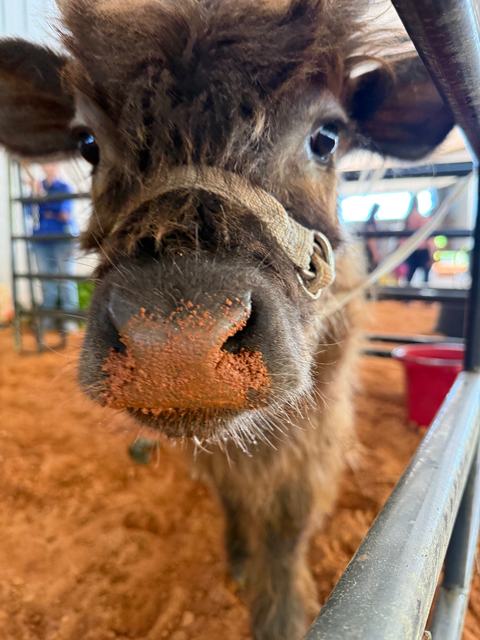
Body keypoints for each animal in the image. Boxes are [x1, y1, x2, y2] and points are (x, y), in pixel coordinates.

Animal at [0, 1, 453, 638]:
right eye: (88, 143)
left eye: (326, 137)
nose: (177, 345)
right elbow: (232, 495)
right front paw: (240, 558)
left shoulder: (316, 422)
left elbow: (288, 521)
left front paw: (281, 613)